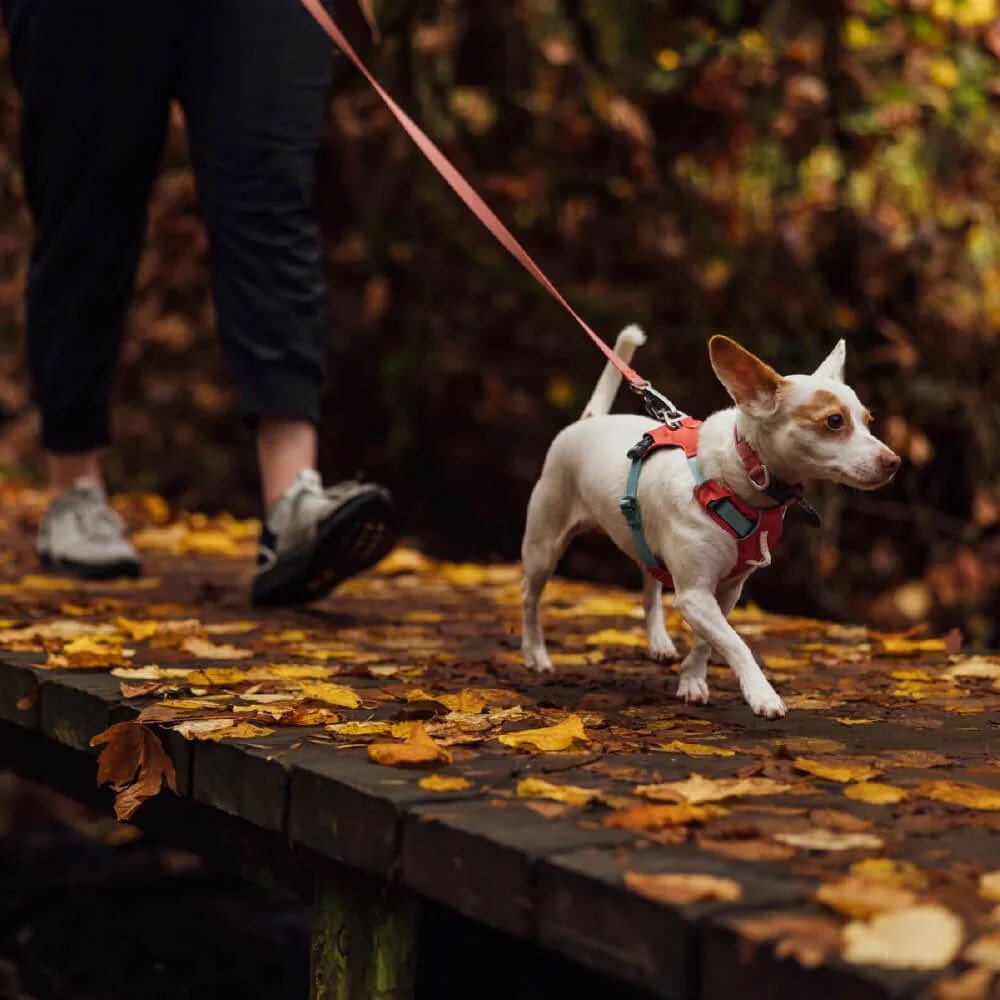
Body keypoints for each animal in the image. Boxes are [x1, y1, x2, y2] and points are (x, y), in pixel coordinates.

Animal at [524, 330, 900, 720]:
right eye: (834, 422)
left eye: (868, 421)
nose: (894, 462)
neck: (739, 474)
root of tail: (588, 420)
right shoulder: (695, 595)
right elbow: (735, 642)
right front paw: (762, 694)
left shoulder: (725, 591)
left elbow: (708, 641)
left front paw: (691, 680)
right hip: (543, 547)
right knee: (529, 600)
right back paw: (536, 654)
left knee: (649, 586)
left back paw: (658, 642)